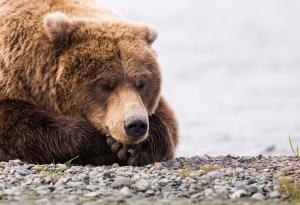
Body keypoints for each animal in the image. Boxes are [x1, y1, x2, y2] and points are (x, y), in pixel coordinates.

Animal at [0, 0, 178, 166]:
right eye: (105, 85)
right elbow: (18, 126)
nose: (135, 124)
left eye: (142, 84)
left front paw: (133, 149)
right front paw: (102, 144)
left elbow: (168, 123)